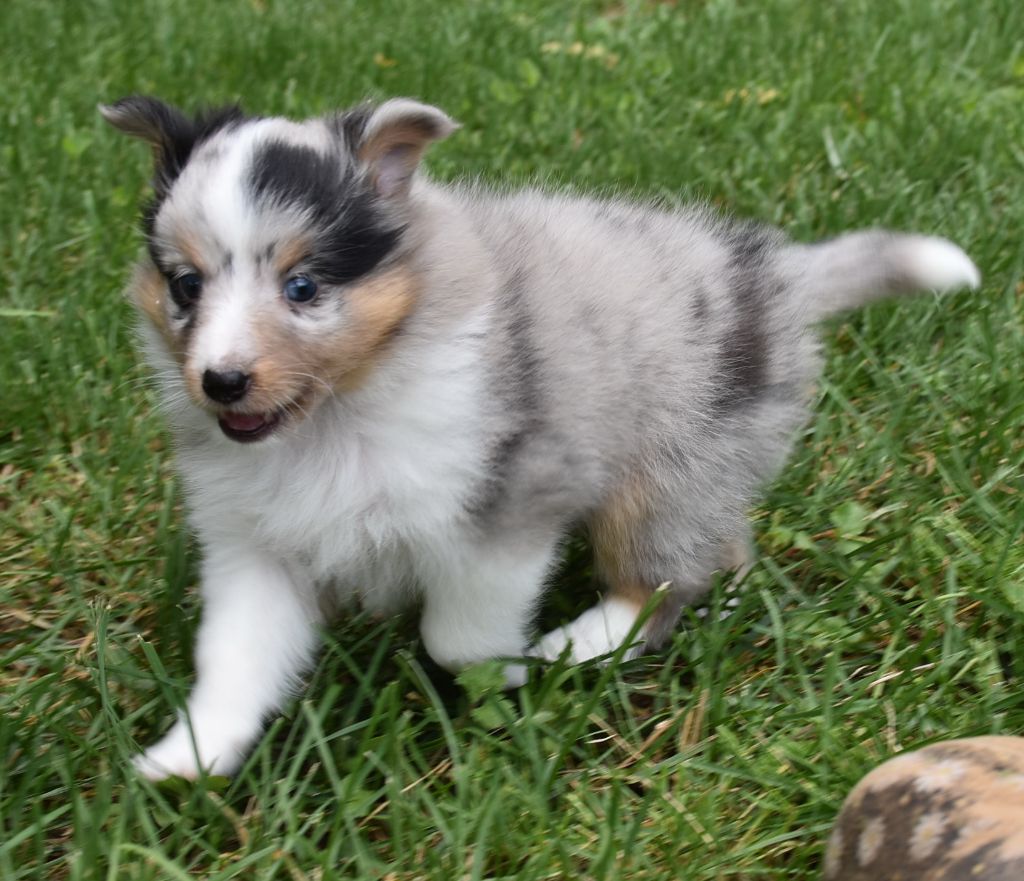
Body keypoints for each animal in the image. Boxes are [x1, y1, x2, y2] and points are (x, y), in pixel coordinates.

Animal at [99, 92, 978, 774]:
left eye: (304, 287)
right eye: (185, 285)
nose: (220, 381)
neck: (338, 414)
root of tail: (778, 278)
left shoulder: (509, 504)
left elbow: (456, 636)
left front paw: (509, 671)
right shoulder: (256, 543)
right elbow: (236, 656)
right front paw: (189, 756)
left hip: (664, 474)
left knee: (660, 582)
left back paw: (575, 644)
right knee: (721, 550)